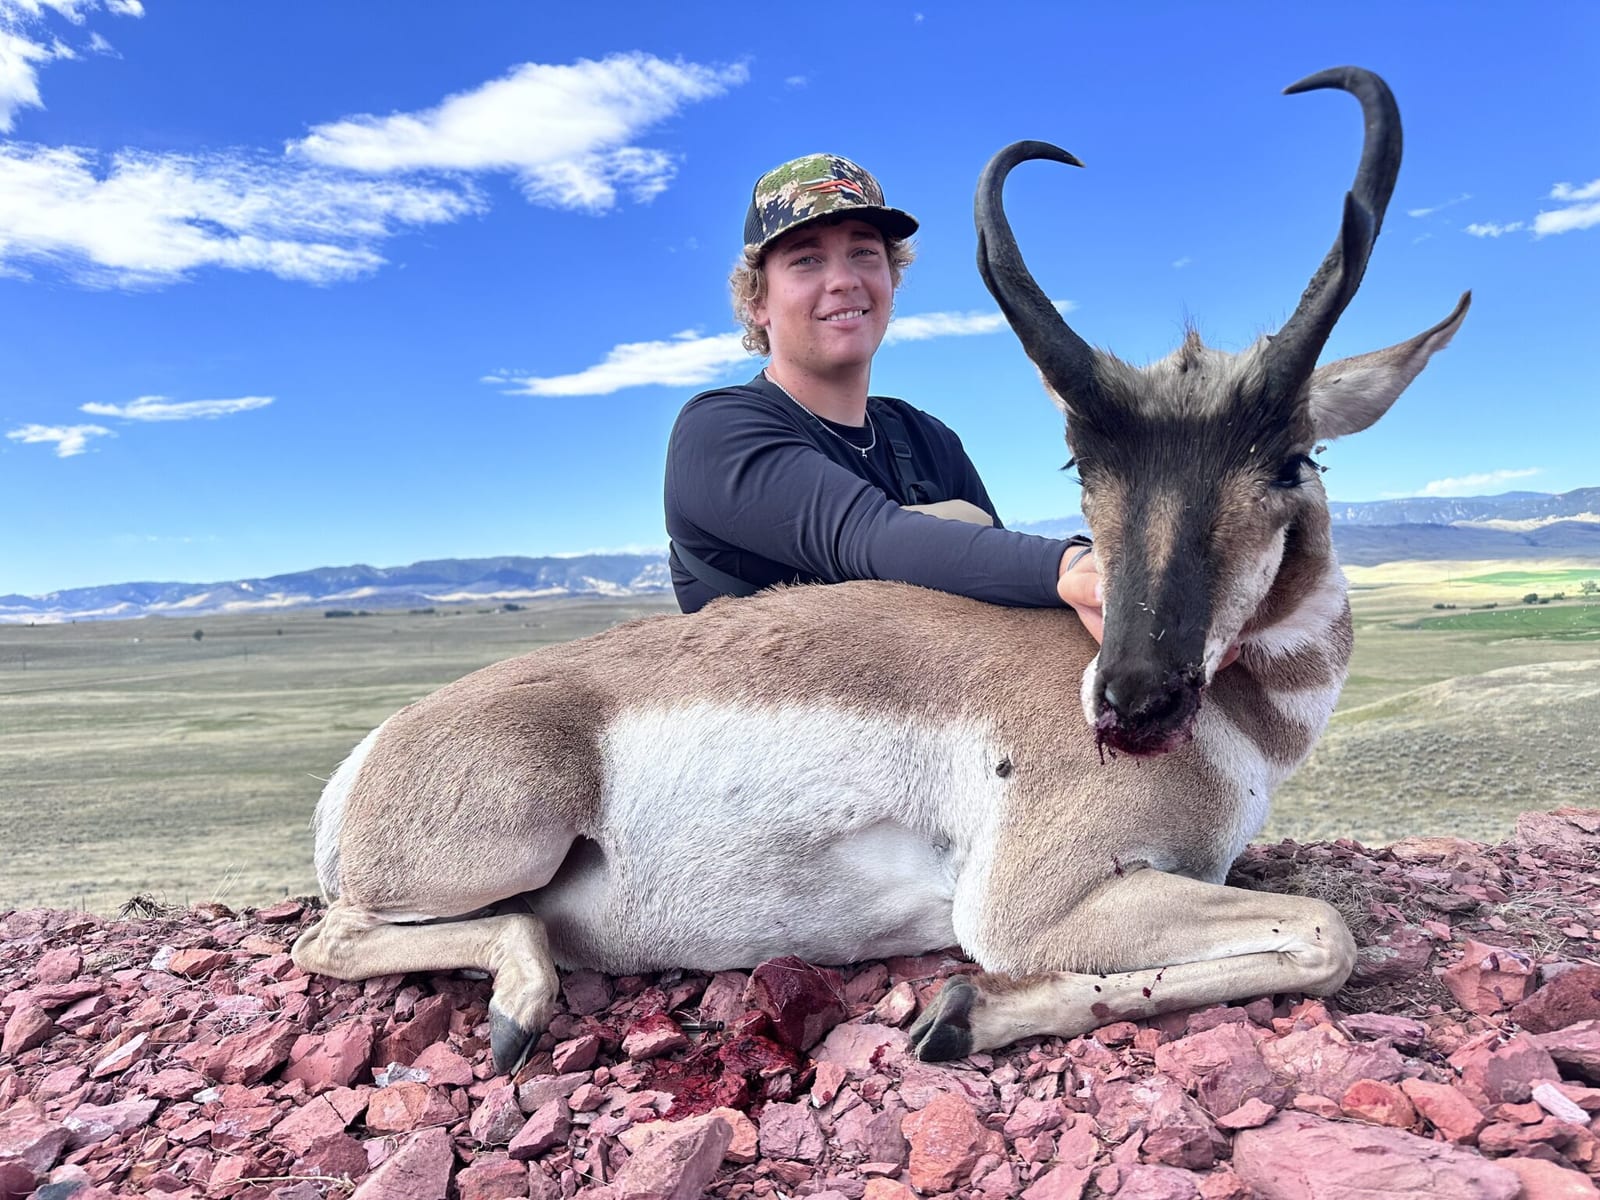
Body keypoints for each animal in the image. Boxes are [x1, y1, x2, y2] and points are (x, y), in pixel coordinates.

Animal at [291, 66, 1469, 1075]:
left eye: (1292, 458)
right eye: (1080, 463)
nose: (1133, 705)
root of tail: (370, 758)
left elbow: (1314, 927)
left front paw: (961, 1015)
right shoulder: (1027, 906)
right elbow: (1326, 932)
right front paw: (963, 1011)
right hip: (498, 849)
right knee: (339, 938)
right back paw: (515, 1010)